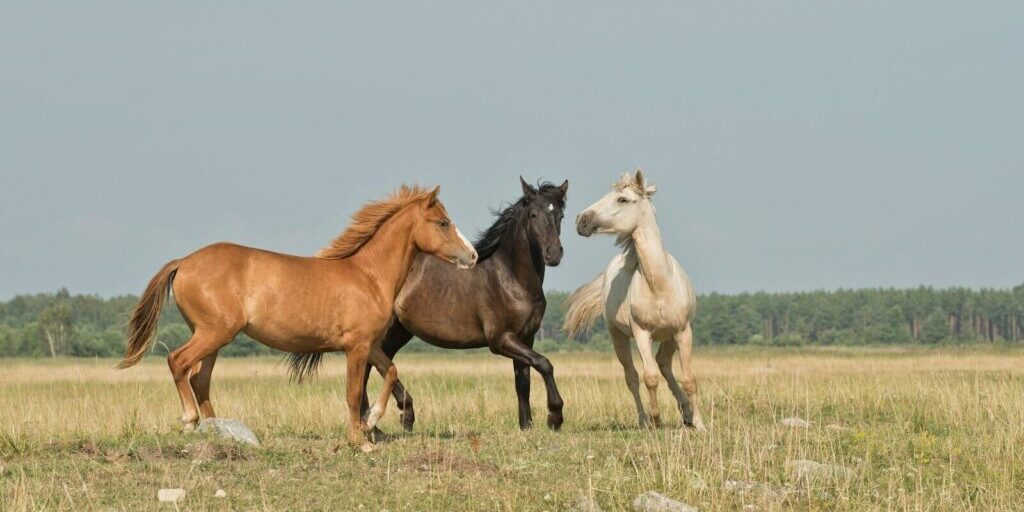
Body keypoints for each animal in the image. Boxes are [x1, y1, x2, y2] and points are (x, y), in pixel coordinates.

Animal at [117, 185, 478, 451]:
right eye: (443, 222)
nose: (472, 255)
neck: (368, 276)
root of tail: (184, 261)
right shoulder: (356, 347)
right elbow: (352, 393)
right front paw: (360, 441)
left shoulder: (370, 344)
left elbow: (391, 372)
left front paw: (372, 421)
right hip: (213, 333)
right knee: (178, 362)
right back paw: (191, 421)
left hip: (213, 337)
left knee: (199, 379)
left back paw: (219, 430)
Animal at [357, 178, 569, 433]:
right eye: (534, 214)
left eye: (560, 215)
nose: (554, 254)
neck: (511, 278)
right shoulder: (500, 339)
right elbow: (544, 364)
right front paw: (555, 416)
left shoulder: (526, 337)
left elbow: (523, 381)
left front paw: (526, 426)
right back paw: (391, 418)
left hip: (399, 331)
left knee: (374, 365)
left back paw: (377, 423)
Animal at [564, 169, 706, 430]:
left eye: (622, 199)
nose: (581, 220)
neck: (659, 284)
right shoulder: (642, 334)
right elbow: (649, 378)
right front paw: (656, 420)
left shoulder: (683, 331)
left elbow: (689, 379)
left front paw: (699, 424)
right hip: (618, 337)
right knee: (632, 377)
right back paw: (644, 420)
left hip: (669, 337)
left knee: (664, 365)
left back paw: (686, 413)